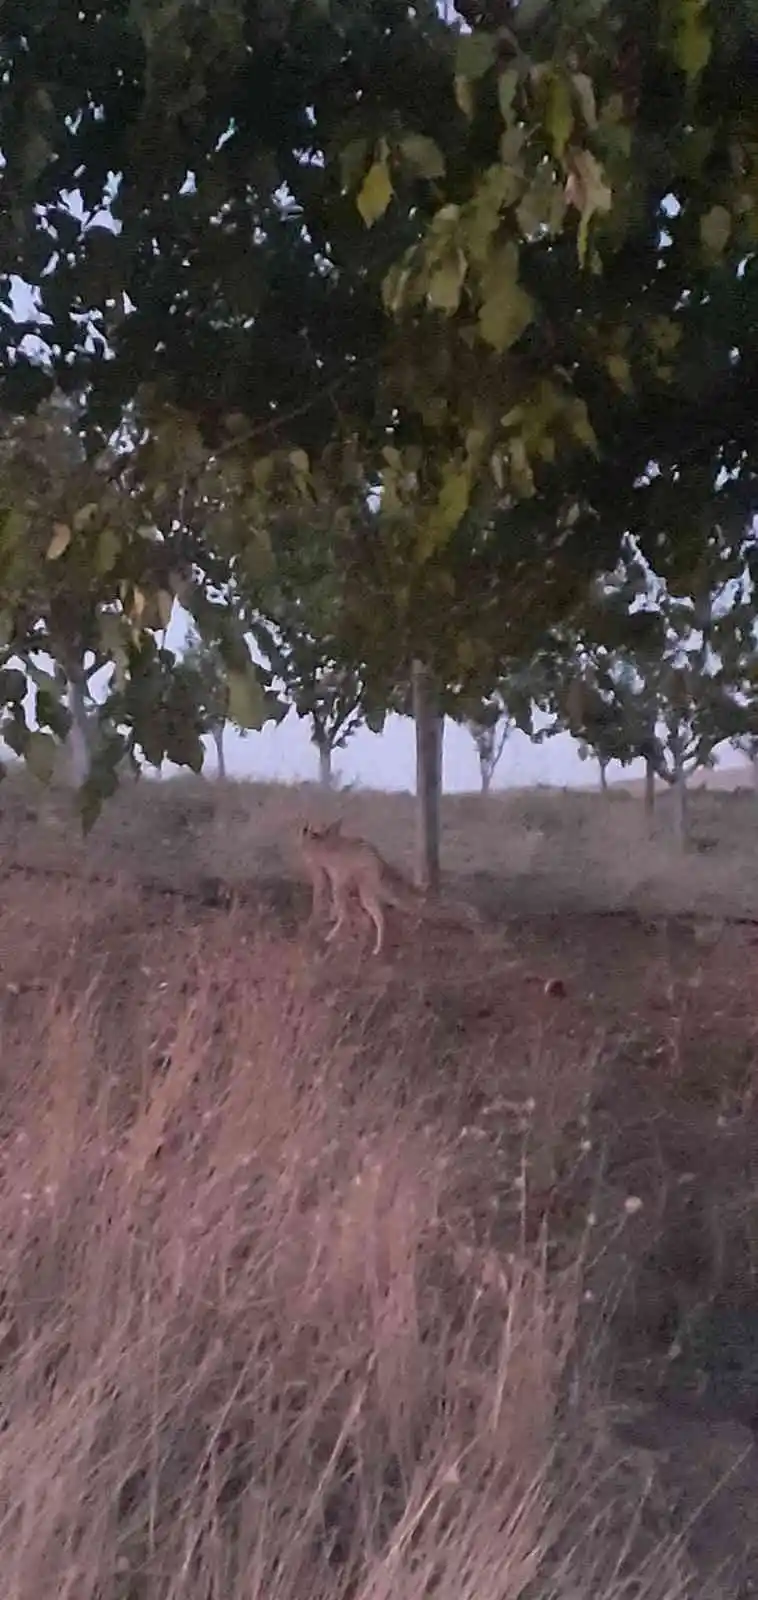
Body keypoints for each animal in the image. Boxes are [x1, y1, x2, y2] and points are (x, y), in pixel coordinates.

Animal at [297, 825, 479, 947]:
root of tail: (379, 859)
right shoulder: (335, 880)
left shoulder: (331, 879)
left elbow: (333, 907)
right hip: (370, 889)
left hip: (366, 890)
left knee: (383, 915)